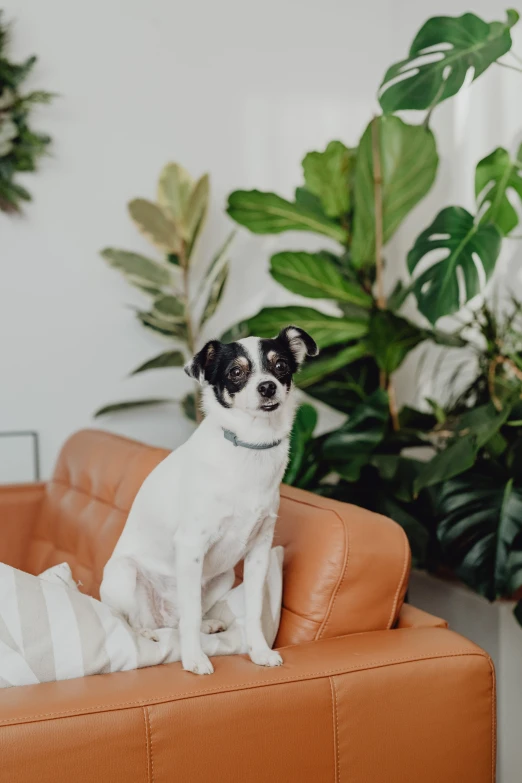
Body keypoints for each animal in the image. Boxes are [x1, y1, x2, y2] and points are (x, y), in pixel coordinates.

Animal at [99, 324, 314, 672]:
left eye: (280, 365)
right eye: (236, 372)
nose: (267, 387)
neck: (251, 448)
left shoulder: (259, 551)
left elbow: (254, 611)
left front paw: (259, 651)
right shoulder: (191, 546)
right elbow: (187, 618)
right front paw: (193, 660)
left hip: (223, 577)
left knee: (182, 618)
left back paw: (206, 625)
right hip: (125, 574)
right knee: (133, 621)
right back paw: (149, 633)